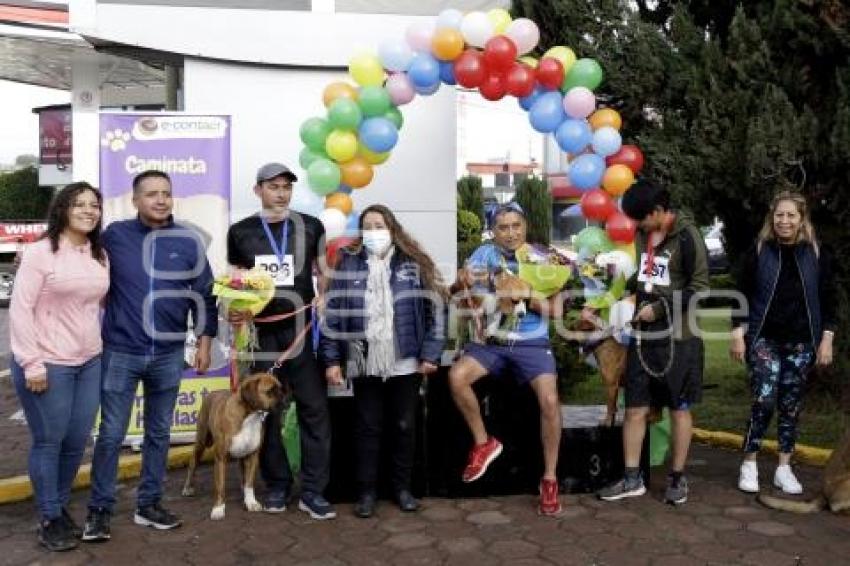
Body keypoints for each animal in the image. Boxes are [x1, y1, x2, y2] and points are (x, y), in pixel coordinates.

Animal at [181, 374, 284, 520]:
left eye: (280, 388)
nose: (284, 398)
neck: (249, 416)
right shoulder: (221, 459)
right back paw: (187, 488)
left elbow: (249, 483)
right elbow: (220, 486)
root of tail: (212, 393)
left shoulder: (252, 456)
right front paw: (218, 508)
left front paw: (251, 502)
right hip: (202, 442)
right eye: (270, 391)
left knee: (243, 473)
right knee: (192, 463)